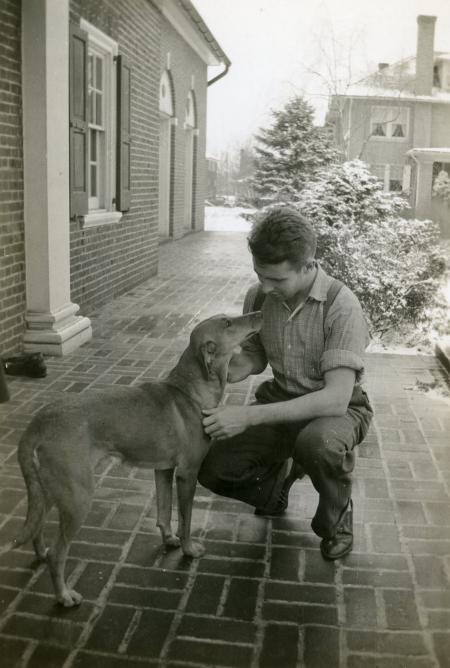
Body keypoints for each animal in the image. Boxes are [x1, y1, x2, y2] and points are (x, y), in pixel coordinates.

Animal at [1, 312, 262, 604]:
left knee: (37, 533)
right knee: (58, 555)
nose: (260, 314)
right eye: (228, 323)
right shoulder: (187, 474)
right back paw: (64, 596)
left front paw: (169, 539)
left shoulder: (164, 470)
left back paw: (42, 555)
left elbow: (164, 510)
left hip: (48, 491)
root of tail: (39, 422)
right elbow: (186, 520)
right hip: (77, 497)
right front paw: (189, 549)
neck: (190, 391)